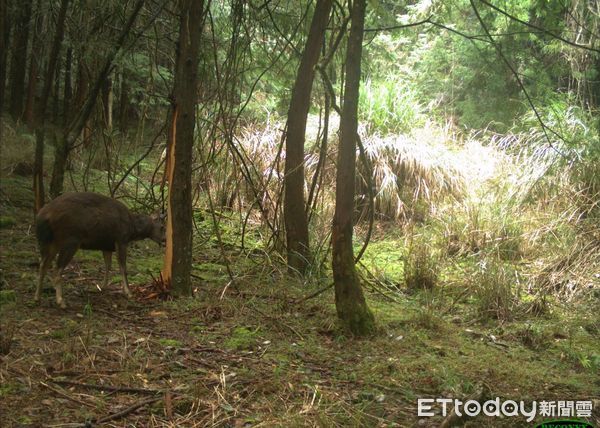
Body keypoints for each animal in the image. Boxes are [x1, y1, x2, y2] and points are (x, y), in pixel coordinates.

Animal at [36, 191, 165, 308]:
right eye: (162, 227)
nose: (165, 240)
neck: (133, 229)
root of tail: (43, 216)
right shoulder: (121, 239)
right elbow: (123, 268)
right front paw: (128, 292)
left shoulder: (106, 246)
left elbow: (108, 266)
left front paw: (103, 286)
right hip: (71, 239)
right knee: (57, 269)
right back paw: (61, 301)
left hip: (50, 241)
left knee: (43, 265)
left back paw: (38, 297)